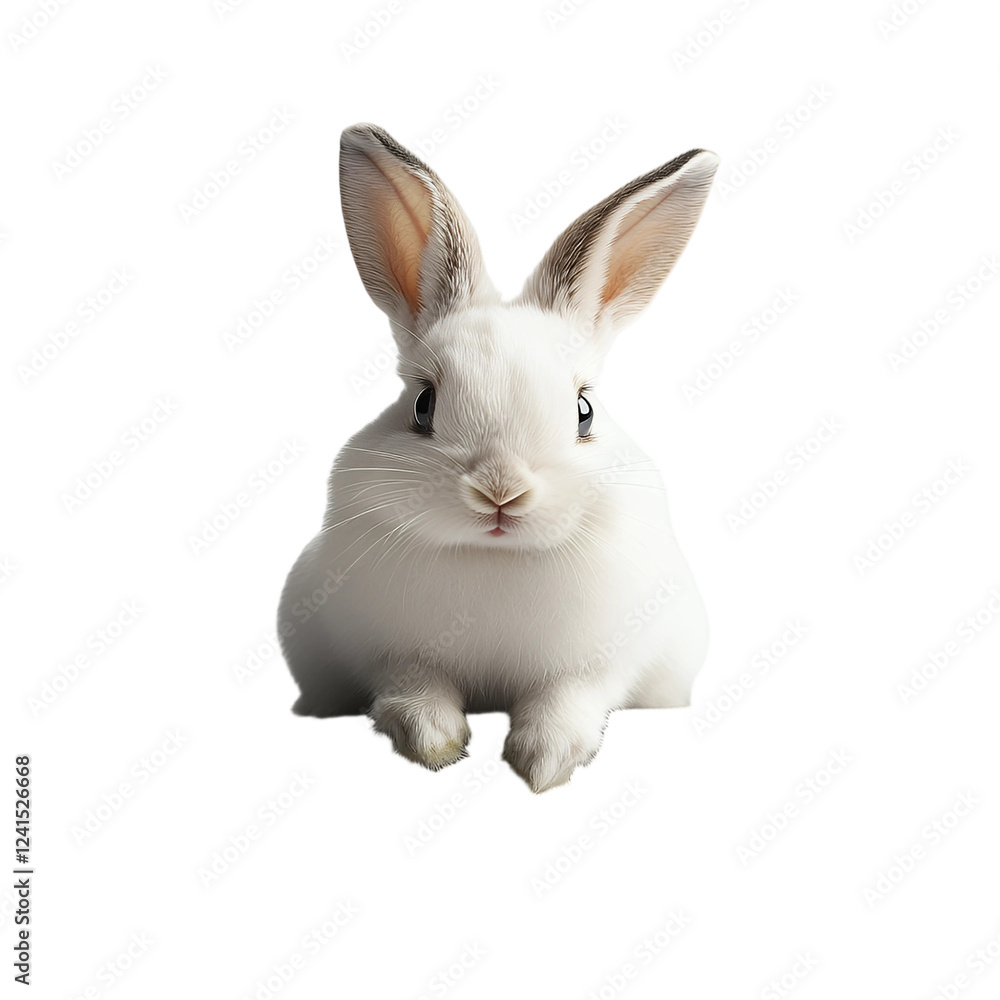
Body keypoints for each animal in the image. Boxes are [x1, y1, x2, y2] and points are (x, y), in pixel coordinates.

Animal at [278, 123, 718, 792]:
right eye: (423, 405)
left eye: (584, 411)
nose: (500, 491)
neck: (495, 560)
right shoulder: (387, 655)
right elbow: (414, 688)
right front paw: (434, 743)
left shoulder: (598, 665)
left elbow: (568, 700)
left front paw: (544, 763)